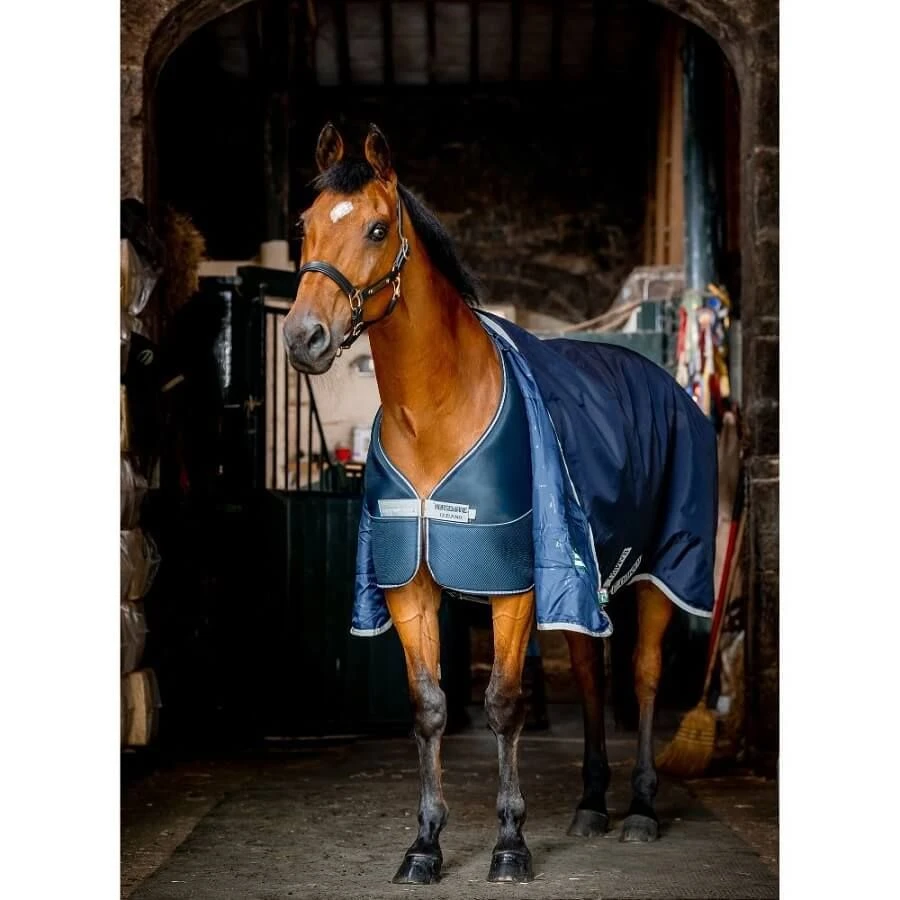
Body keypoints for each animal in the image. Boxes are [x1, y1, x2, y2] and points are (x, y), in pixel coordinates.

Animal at [283, 122, 716, 885]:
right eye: (304, 226)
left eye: (375, 227)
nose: (303, 337)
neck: (437, 413)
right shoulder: (409, 587)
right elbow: (430, 707)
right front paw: (424, 845)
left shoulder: (512, 587)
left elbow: (504, 704)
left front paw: (510, 843)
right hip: (585, 587)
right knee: (593, 678)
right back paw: (591, 804)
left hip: (660, 574)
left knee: (642, 678)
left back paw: (639, 810)